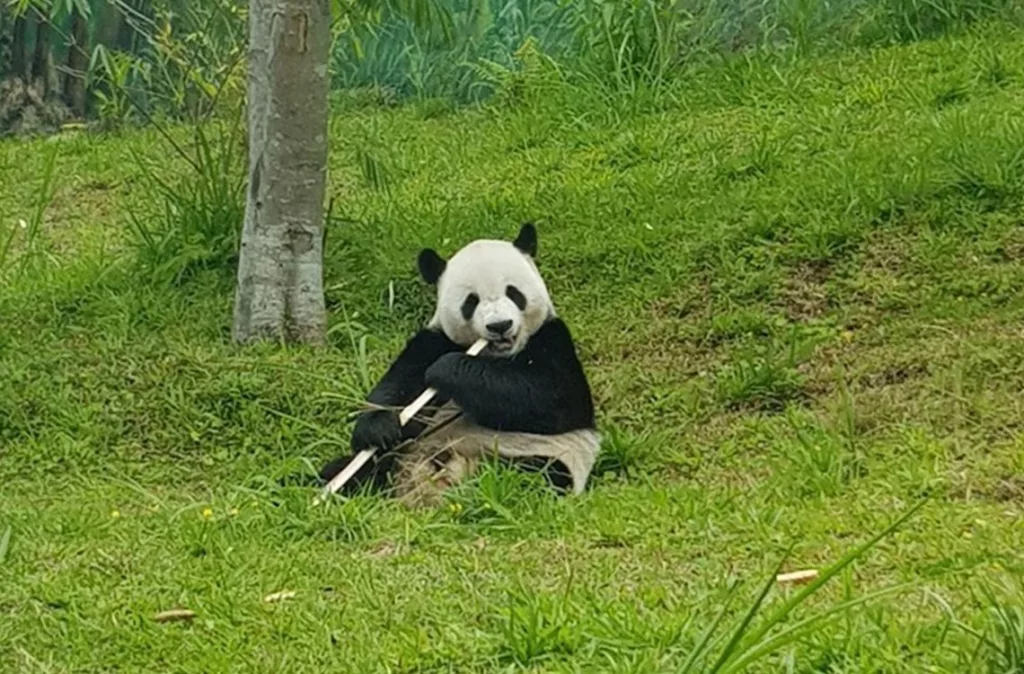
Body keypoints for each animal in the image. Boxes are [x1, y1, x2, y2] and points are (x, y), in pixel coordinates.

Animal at [318, 223, 600, 507]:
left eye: (513, 293)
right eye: (471, 301)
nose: (500, 326)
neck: (495, 357)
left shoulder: (551, 339)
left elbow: (554, 399)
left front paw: (446, 369)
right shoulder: (435, 340)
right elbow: (399, 388)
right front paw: (379, 428)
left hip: (545, 454)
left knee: (538, 476)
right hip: (402, 455)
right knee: (352, 470)